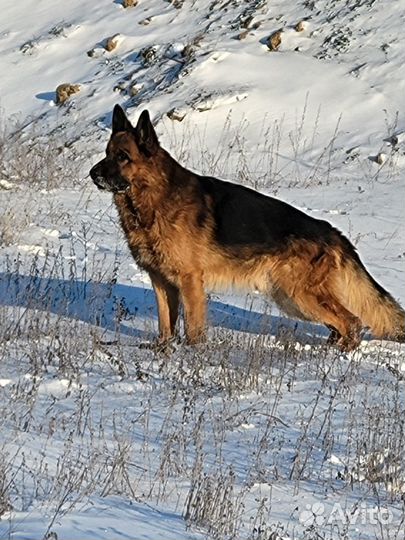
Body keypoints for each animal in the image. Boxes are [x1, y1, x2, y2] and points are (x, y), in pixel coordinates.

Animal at [90, 105, 404, 350]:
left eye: (122, 157)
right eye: (106, 153)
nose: (92, 174)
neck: (155, 198)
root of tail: (333, 232)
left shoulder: (190, 282)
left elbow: (192, 328)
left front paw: (191, 356)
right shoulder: (161, 283)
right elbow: (166, 324)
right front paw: (163, 350)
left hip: (298, 296)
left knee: (352, 321)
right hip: (292, 298)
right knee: (341, 323)